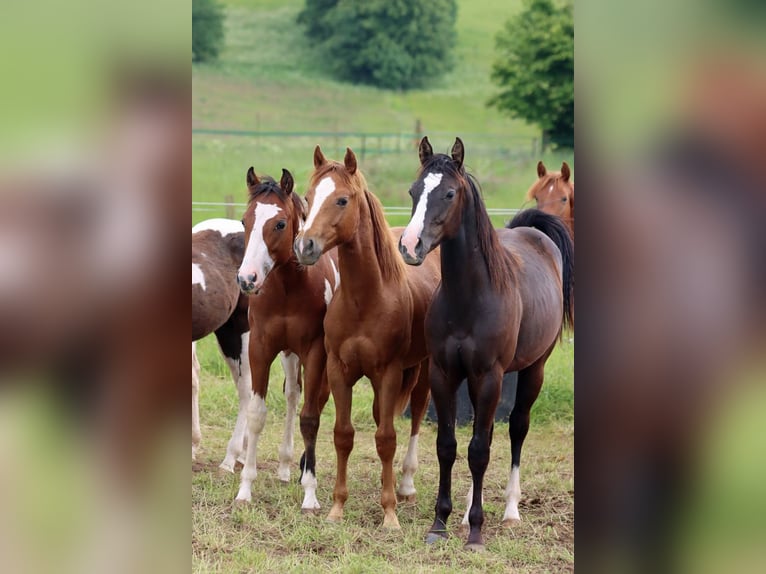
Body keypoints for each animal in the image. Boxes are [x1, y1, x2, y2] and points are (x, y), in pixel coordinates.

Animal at [234, 166, 340, 512]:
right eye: (245, 221)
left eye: (279, 224)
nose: (247, 279)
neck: (287, 290)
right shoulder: (261, 348)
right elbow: (257, 414)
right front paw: (245, 489)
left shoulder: (315, 352)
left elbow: (310, 418)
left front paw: (310, 493)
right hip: (288, 354)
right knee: (293, 394)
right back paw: (283, 467)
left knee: (312, 401)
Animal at [292, 145, 440, 532]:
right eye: (308, 197)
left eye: (342, 200)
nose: (304, 245)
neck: (366, 299)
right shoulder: (339, 371)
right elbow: (344, 436)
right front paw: (336, 507)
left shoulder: (389, 373)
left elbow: (387, 439)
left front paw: (389, 514)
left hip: (422, 371)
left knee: (415, 418)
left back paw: (404, 487)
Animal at [400, 137, 572, 552]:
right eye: (414, 191)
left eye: (449, 193)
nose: (410, 246)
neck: (471, 297)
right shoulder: (444, 374)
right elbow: (448, 446)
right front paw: (441, 523)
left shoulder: (490, 375)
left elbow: (479, 450)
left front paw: (476, 533)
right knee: (487, 432)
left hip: (532, 371)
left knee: (515, 430)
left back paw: (510, 511)